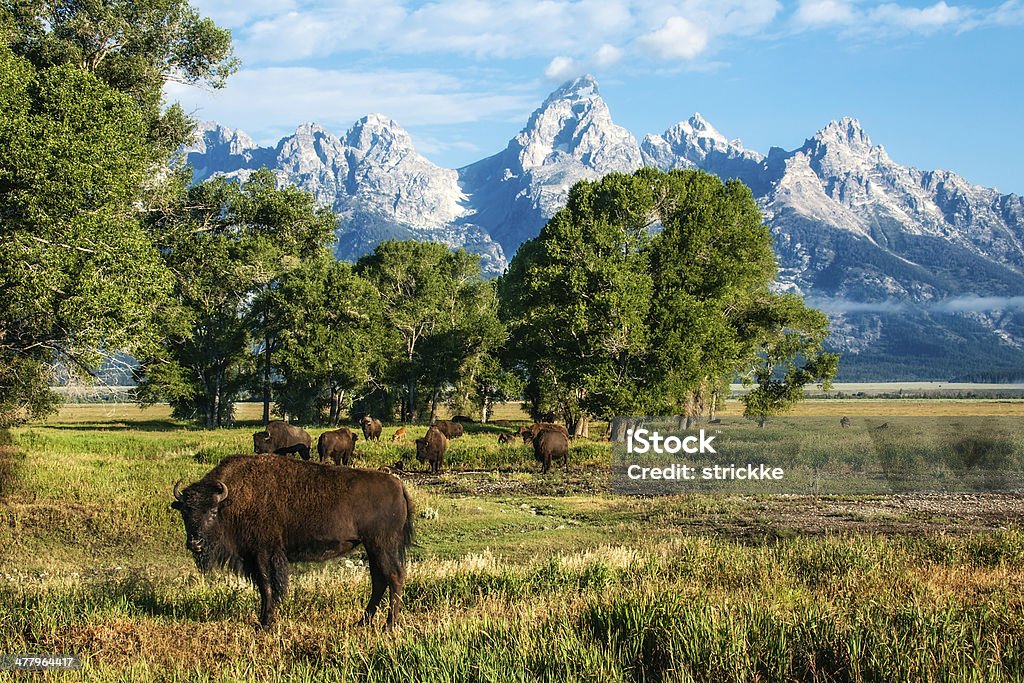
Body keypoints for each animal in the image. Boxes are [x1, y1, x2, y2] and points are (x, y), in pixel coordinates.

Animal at [171, 456, 411, 626]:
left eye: (212, 511)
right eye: (185, 512)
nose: (195, 543)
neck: (231, 501)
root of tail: (398, 485)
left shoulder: (263, 553)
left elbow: (268, 585)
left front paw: (265, 622)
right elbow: (264, 586)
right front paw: (263, 619)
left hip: (382, 546)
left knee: (394, 576)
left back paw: (389, 625)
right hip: (373, 548)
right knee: (379, 580)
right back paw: (362, 622)